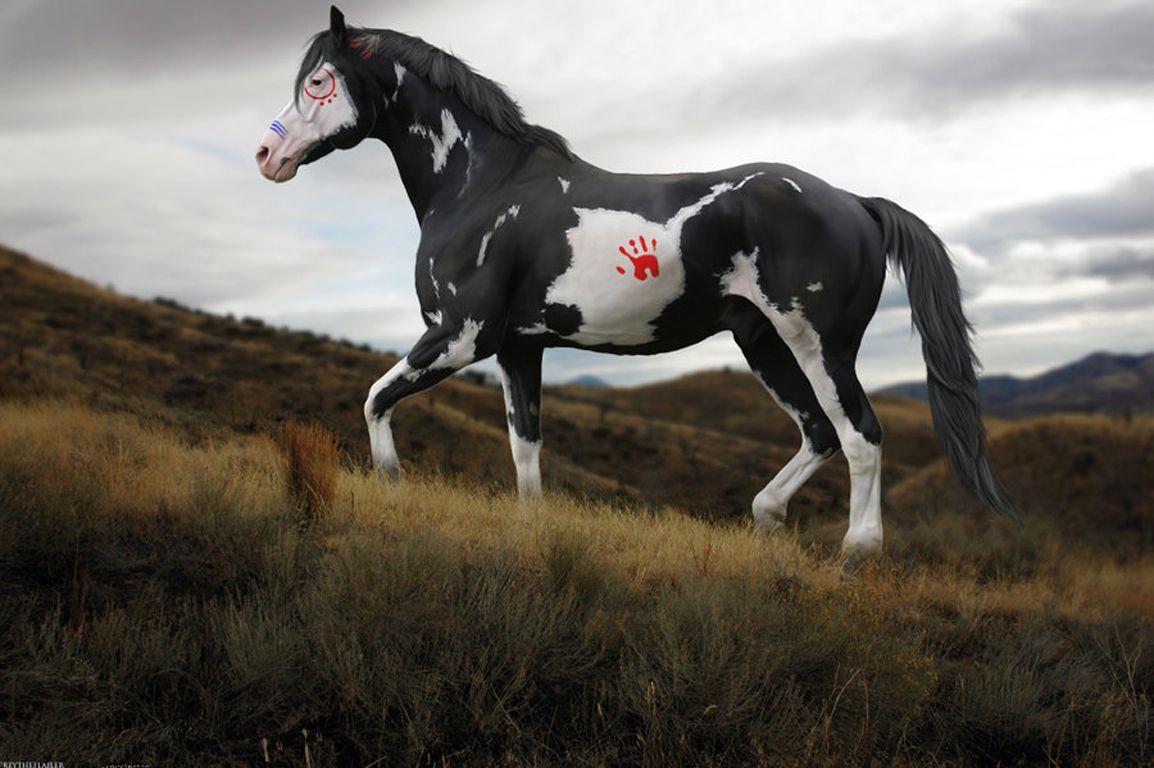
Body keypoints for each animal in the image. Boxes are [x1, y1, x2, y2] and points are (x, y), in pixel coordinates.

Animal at [255, 6, 1017, 563]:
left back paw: (857, 552)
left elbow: (374, 399)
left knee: (860, 433)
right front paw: (532, 530)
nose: (267, 155)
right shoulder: (517, 348)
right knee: (819, 433)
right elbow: (524, 446)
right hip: (763, 342)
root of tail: (856, 203)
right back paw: (766, 517)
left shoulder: (459, 337)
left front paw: (391, 483)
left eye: (319, 81)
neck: (481, 187)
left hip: (818, 343)